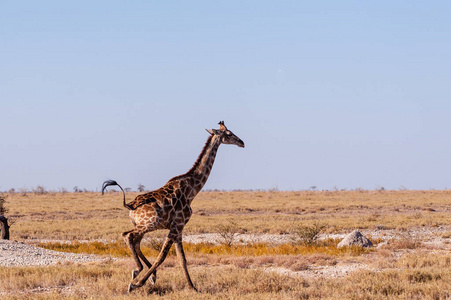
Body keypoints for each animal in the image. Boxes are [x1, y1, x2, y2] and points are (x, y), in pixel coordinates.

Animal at [102, 120, 245, 292]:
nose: (242, 142)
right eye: (229, 133)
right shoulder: (176, 226)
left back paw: (145, 272)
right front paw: (137, 284)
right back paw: (138, 272)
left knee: (135, 241)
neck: (192, 190)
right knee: (127, 235)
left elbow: (182, 259)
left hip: (142, 225)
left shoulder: (179, 228)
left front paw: (193, 287)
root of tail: (130, 206)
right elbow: (162, 256)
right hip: (148, 224)